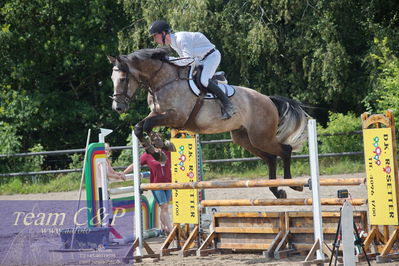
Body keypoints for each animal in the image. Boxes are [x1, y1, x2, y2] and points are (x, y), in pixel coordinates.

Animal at [108, 47, 310, 198]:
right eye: (112, 79)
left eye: (123, 79)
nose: (118, 107)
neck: (163, 80)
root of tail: (268, 99)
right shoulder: (158, 113)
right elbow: (140, 127)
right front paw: (160, 149)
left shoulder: (177, 116)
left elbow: (146, 125)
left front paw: (160, 149)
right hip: (245, 138)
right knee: (271, 158)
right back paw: (277, 190)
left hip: (261, 136)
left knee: (285, 150)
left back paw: (294, 185)